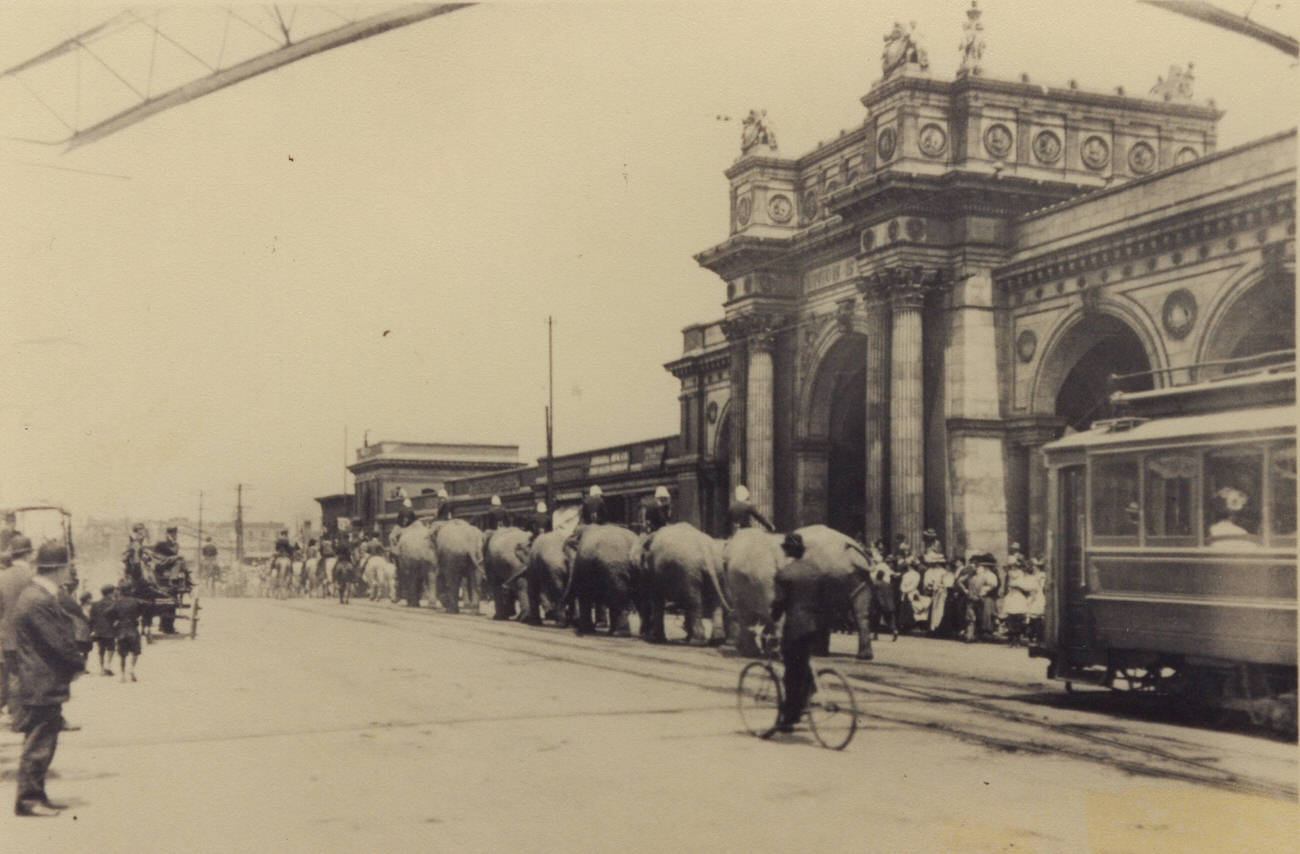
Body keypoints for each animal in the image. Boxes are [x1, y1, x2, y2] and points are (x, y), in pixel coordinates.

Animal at [637, 519, 733, 647]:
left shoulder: (655, 572)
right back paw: (715, 641)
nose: (642, 635)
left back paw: (697, 642)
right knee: (714, 601)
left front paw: (655, 639)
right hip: (717, 570)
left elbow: (657, 600)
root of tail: (706, 549)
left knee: (694, 601)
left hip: (689, 571)